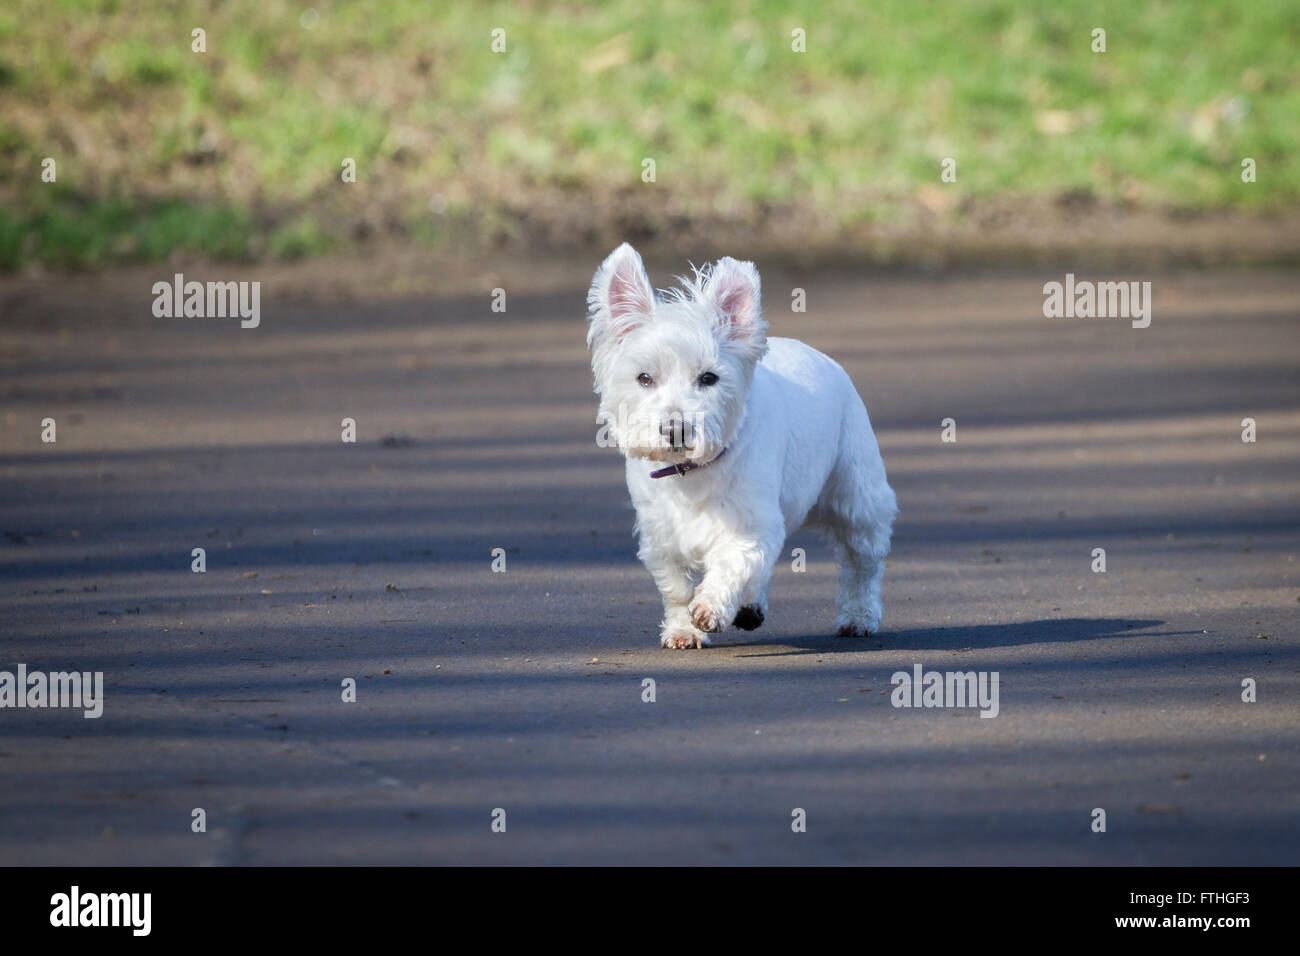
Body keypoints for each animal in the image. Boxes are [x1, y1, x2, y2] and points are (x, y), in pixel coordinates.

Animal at [587, 247, 894, 650]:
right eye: (644, 378)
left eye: (709, 378)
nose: (675, 429)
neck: (690, 474)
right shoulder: (660, 536)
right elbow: (677, 588)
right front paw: (683, 629)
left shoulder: (751, 524)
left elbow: (734, 563)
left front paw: (710, 609)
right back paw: (750, 607)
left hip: (857, 495)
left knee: (863, 562)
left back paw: (859, 617)